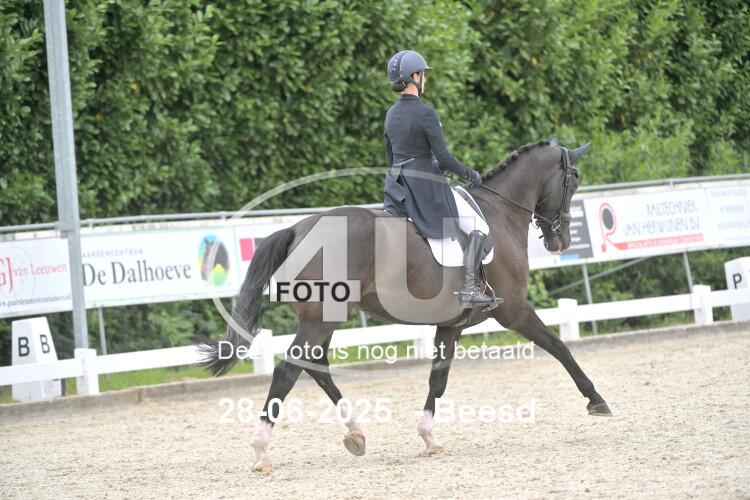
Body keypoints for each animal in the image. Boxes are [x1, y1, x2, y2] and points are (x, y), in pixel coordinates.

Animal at [199, 140, 611, 472]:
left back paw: (356, 434)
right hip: (320, 320)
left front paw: (429, 437)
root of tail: (299, 229)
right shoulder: (514, 310)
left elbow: (438, 378)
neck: (500, 212)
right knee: (287, 372)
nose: (560, 241)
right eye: (573, 181)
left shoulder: (452, 323)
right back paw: (261, 452)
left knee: (315, 367)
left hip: (324, 318)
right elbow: (559, 347)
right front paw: (597, 401)